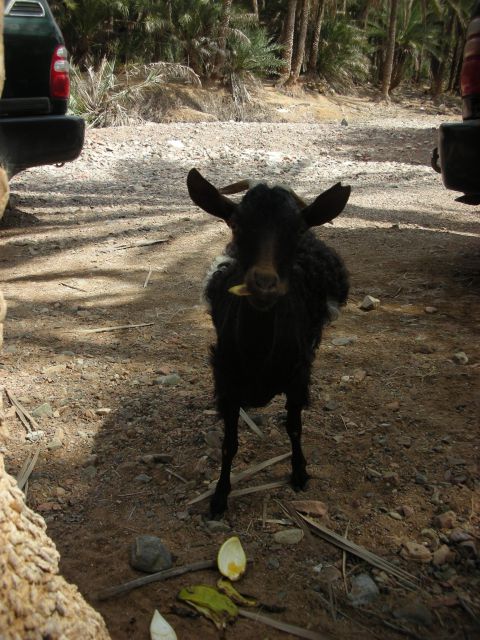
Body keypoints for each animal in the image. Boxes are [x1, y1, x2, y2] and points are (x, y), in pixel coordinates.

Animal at [189, 169, 350, 516]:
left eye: (297, 229)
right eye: (236, 223)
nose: (263, 284)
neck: (257, 356)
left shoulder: (298, 377)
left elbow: (294, 427)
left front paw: (300, 473)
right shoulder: (226, 384)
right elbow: (229, 445)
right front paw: (219, 497)